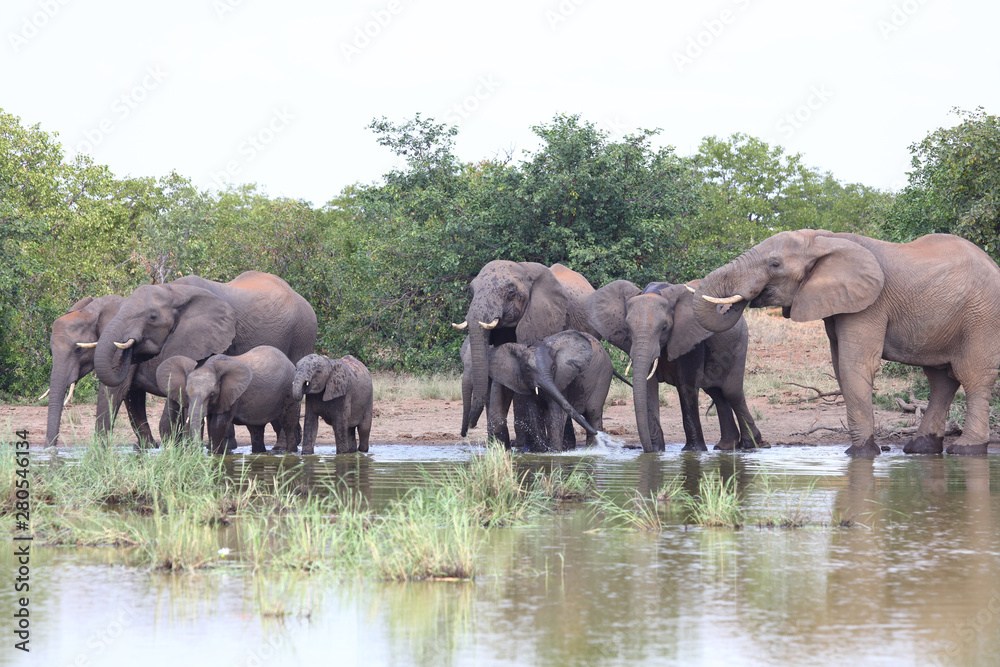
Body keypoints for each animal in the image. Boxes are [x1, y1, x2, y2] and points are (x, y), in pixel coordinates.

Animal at [156, 346, 301, 455]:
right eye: (186, 394)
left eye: (212, 394)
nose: (197, 452)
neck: (209, 367)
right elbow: (209, 423)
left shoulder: (231, 394)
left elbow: (218, 424)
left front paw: (215, 455)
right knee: (256, 429)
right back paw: (259, 453)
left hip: (289, 390)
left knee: (288, 424)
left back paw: (290, 453)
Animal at [454, 261, 600, 445]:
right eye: (472, 291)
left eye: (511, 293)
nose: (467, 431)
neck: (522, 268)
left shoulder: (543, 318)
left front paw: (529, 447)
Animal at [588, 280, 762, 453]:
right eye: (627, 328)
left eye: (664, 327)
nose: (646, 449)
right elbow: (648, 387)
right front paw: (657, 451)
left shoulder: (690, 339)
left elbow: (686, 386)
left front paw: (693, 451)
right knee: (717, 393)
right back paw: (725, 447)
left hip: (739, 343)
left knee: (731, 392)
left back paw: (751, 444)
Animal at [692, 229, 1000, 457]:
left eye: (774, 264)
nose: (743, 298)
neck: (824, 239)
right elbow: (840, 366)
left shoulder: (869, 304)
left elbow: (854, 365)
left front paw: (861, 454)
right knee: (941, 380)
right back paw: (919, 449)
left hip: (982, 318)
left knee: (972, 377)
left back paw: (966, 450)